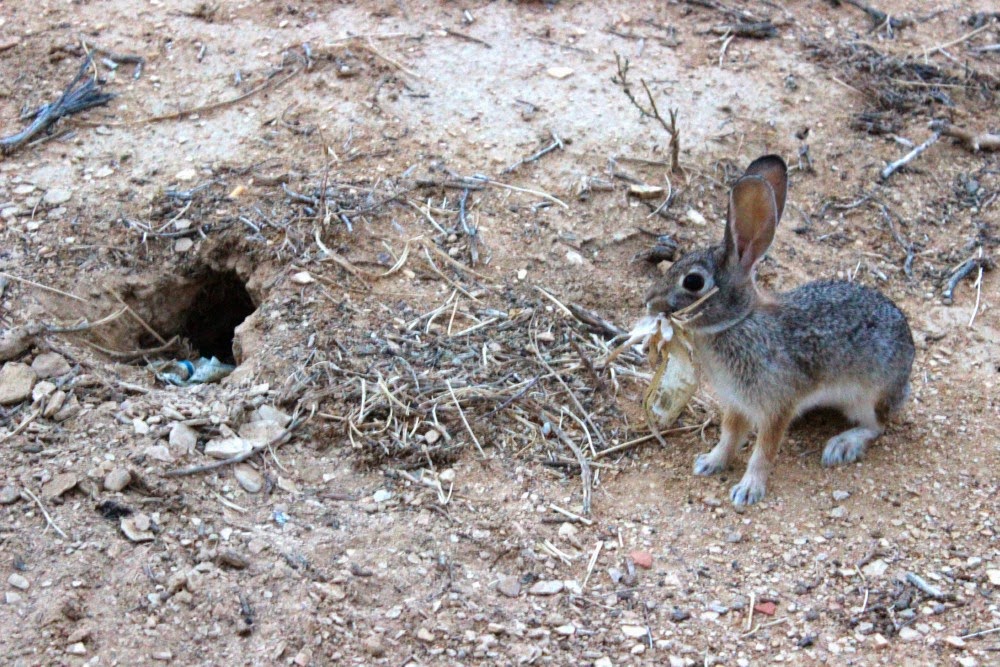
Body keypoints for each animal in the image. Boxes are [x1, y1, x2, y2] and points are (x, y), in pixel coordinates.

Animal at [644, 154, 914, 506]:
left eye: (693, 281)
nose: (649, 301)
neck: (739, 321)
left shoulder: (777, 405)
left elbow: (764, 449)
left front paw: (748, 490)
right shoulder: (737, 402)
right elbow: (729, 435)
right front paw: (710, 462)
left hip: (869, 395)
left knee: (877, 426)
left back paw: (842, 445)